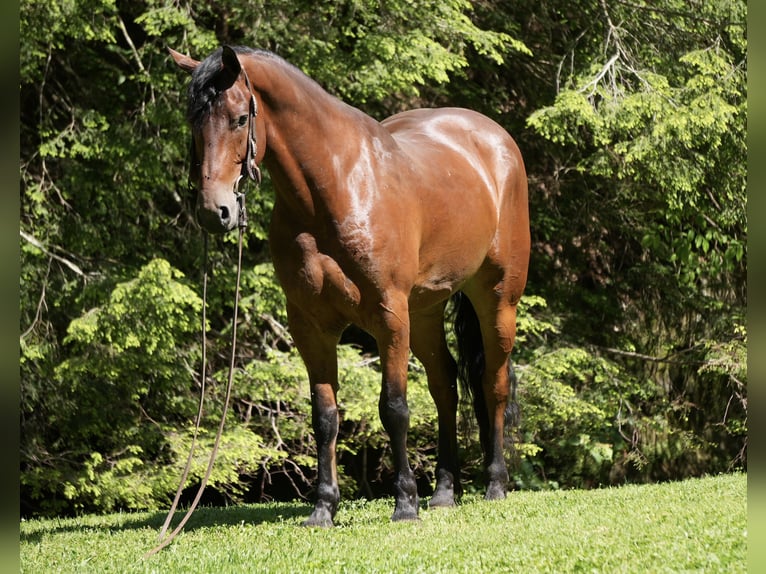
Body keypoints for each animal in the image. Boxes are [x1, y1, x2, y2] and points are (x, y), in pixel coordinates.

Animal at [169, 45, 530, 527]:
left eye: (239, 119)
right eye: (193, 123)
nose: (215, 211)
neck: (333, 191)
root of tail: (495, 138)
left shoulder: (389, 317)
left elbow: (394, 408)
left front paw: (405, 504)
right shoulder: (311, 326)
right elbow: (324, 415)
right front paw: (324, 507)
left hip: (496, 300)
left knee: (494, 382)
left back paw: (494, 483)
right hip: (426, 313)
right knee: (446, 385)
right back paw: (443, 493)